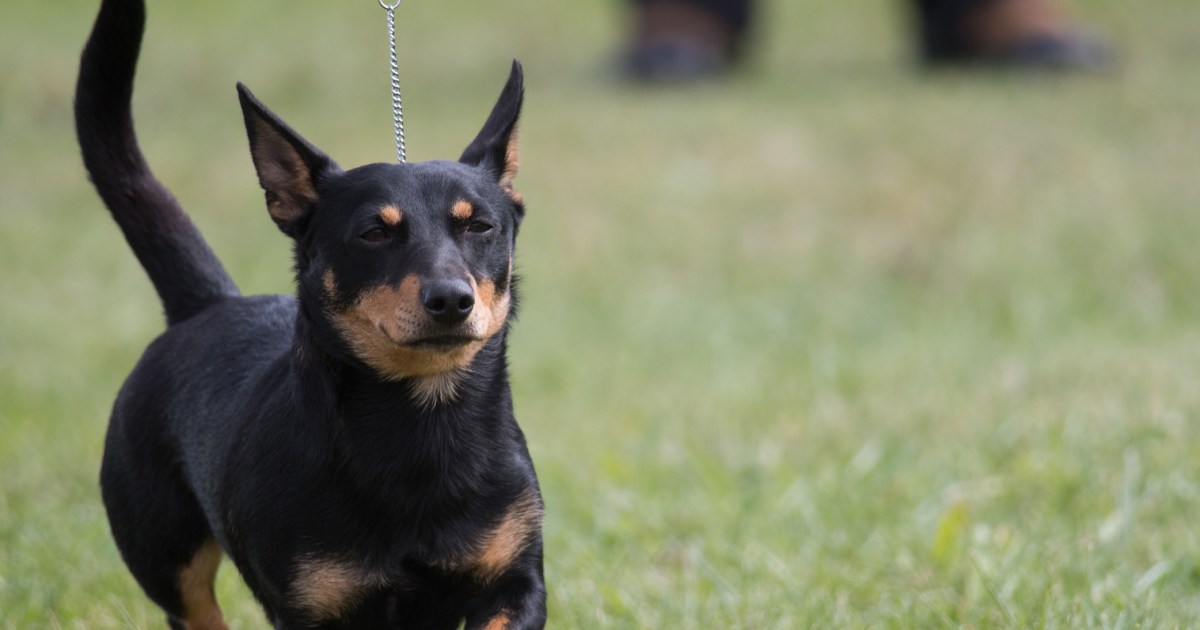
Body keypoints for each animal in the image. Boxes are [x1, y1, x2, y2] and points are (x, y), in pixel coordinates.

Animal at [73, 1, 544, 628]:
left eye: (480, 226)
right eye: (373, 233)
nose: (450, 299)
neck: (421, 427)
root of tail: (209, 303)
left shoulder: (515, 584)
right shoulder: (309, 608)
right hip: (167, 561)